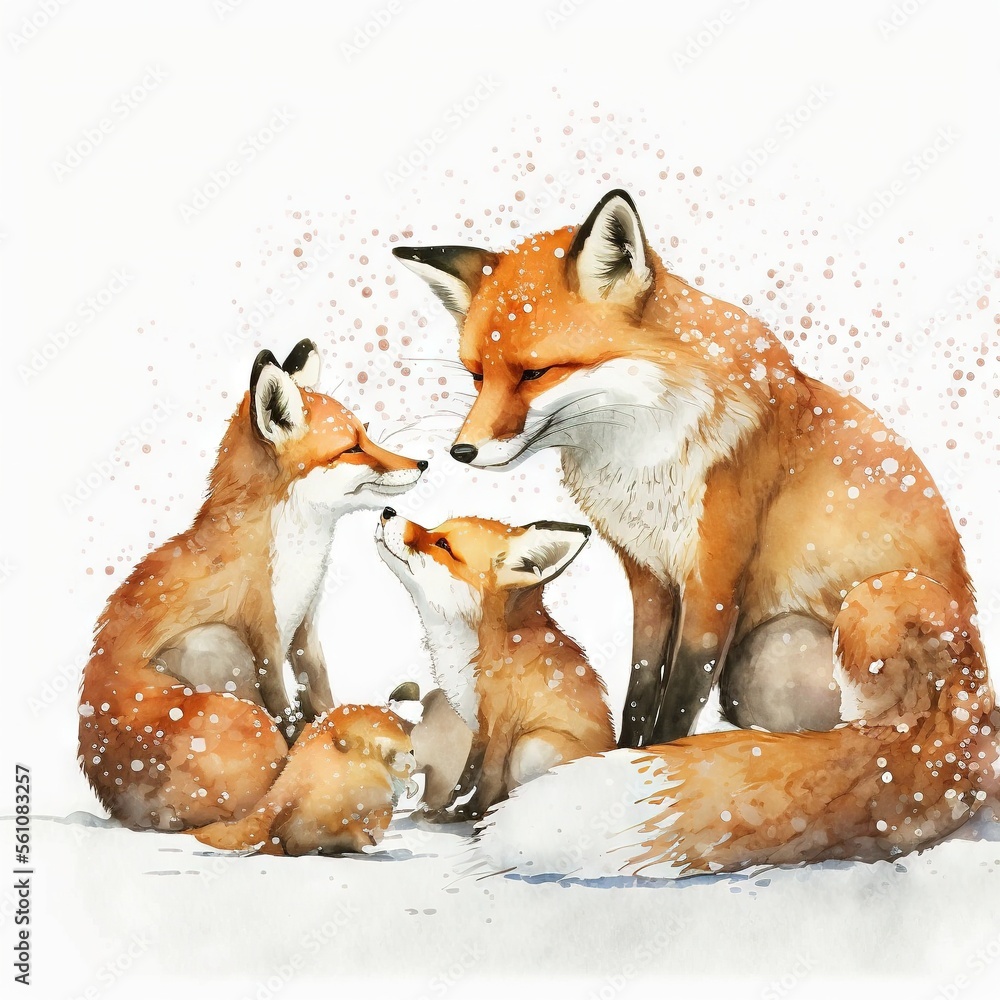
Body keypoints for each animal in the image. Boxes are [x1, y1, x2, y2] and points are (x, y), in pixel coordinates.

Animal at [78, 340, 427, 831]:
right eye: (352, 448)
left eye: (368, 434)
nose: (423, 463)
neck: (297, 553)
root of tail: (118, 805)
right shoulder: (263, 631)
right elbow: (286, 708)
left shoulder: (305, 626)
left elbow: (321, 692)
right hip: (216, 644)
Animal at [375, 508, 615, 819]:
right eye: (435, 528)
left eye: (443, 545)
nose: (387, 511)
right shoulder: (477, 725)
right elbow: (468, 771)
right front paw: (448, 804)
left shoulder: (504, 720)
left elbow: (488, 774)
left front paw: (470, 814)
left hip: (530, 748)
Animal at [393, 189, 988, 749]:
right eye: (477, 374)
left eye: (536, 372)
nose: (461, 452)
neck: (641, 454)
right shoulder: (649, 574)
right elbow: (639, 685)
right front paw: (619, 755)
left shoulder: (714, 577)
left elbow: (678, 697)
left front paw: (646, 763)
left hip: (846, 613)